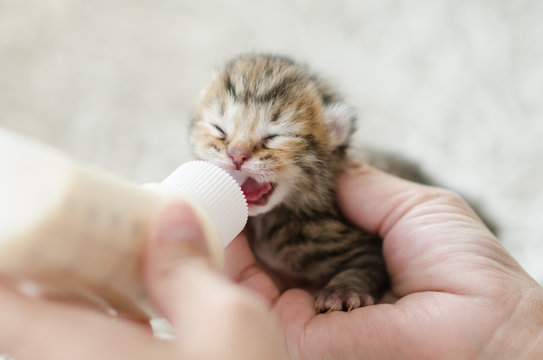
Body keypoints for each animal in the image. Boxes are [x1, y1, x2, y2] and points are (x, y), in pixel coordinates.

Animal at [189, 54, 388, 312]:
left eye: (274, 137)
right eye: (219, 130)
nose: (236, 156)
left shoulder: (369, 248)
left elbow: (364, 266)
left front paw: (342, 291)